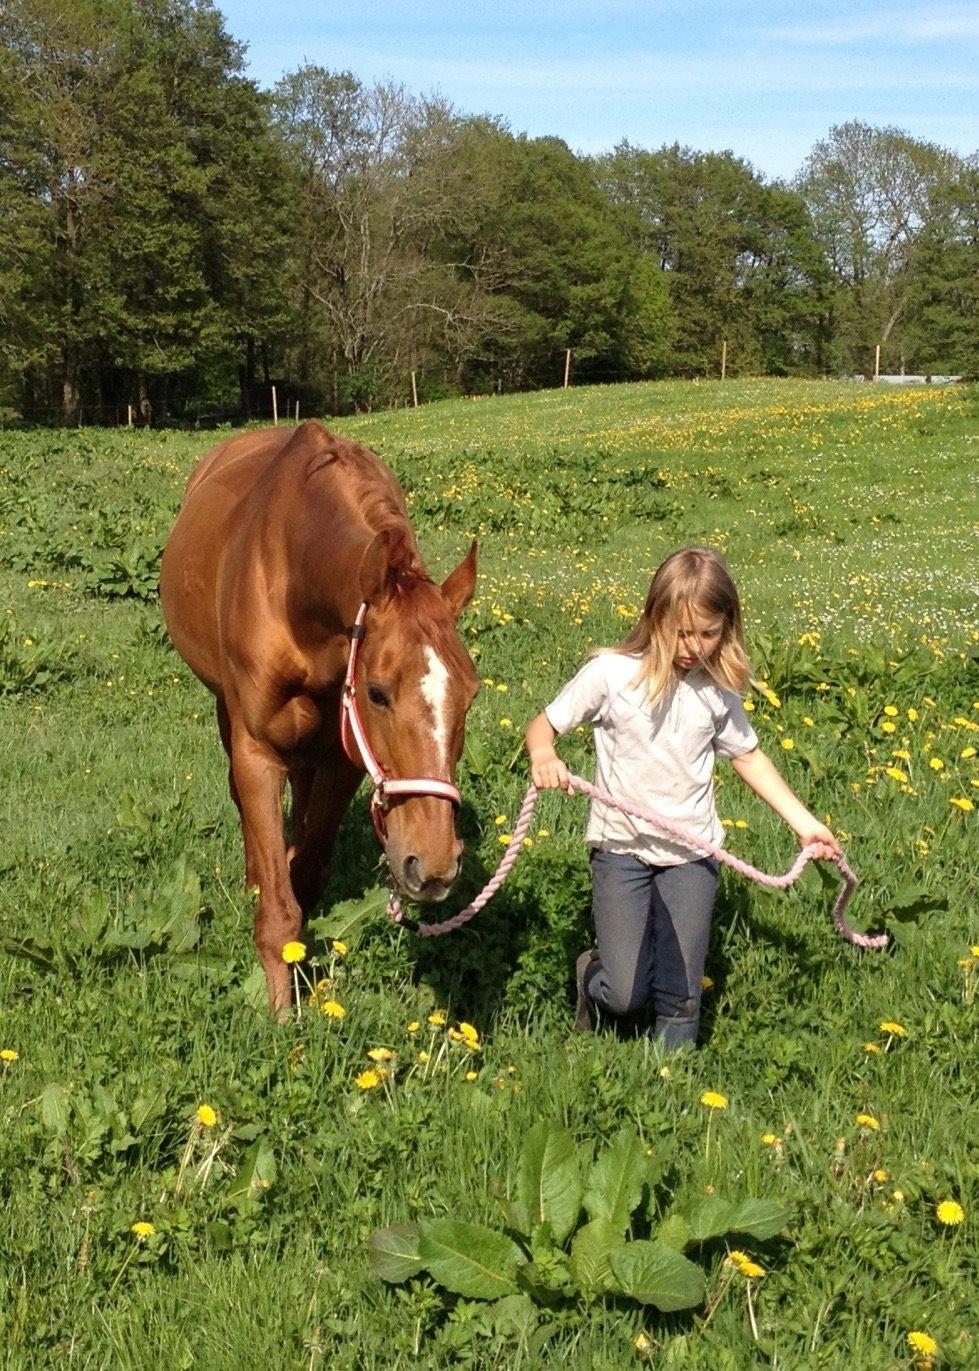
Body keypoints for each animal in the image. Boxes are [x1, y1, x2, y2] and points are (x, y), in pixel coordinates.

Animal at [159, 416, 477, 1009]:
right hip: (225, 710)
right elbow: (279, 906)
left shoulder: (344, 758)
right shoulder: (258, 749)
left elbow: (306, 874)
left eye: (470, 694)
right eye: (376, 692)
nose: (433, 865)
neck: (291, 578)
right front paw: (280, 1013)